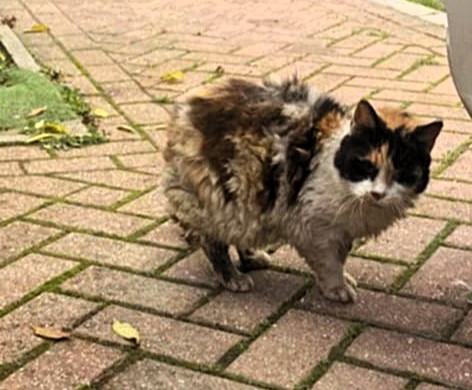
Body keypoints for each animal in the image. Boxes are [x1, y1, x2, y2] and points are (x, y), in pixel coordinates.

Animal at [163, 75, 442, 302]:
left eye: (402, 174)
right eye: (366, 166)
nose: (378, 194)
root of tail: (183, 109)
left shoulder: (342, 231)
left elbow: (340, 257)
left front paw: (343, 279)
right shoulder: (314, 228)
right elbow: (329, 262)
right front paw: (337, 288)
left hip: (247, 203)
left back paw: (253, 257)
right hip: (217, 200)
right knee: (212, 243)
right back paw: (233, 276)